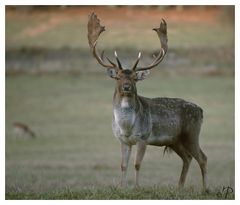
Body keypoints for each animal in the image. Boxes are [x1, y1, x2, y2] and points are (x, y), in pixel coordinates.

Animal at [87, 13, 207, 191]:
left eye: (134, 78)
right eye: (119, 77)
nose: (127, 86)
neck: (126, 126)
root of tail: (201, 110)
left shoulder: (143, 137)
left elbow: (137, 164)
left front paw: (137, 187)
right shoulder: (123, 140)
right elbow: (123, 165)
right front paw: (121, 187)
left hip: (191, 133)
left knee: (202, 158)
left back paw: (205, 189)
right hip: (175, 140)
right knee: (187, 158)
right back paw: (179, 188)